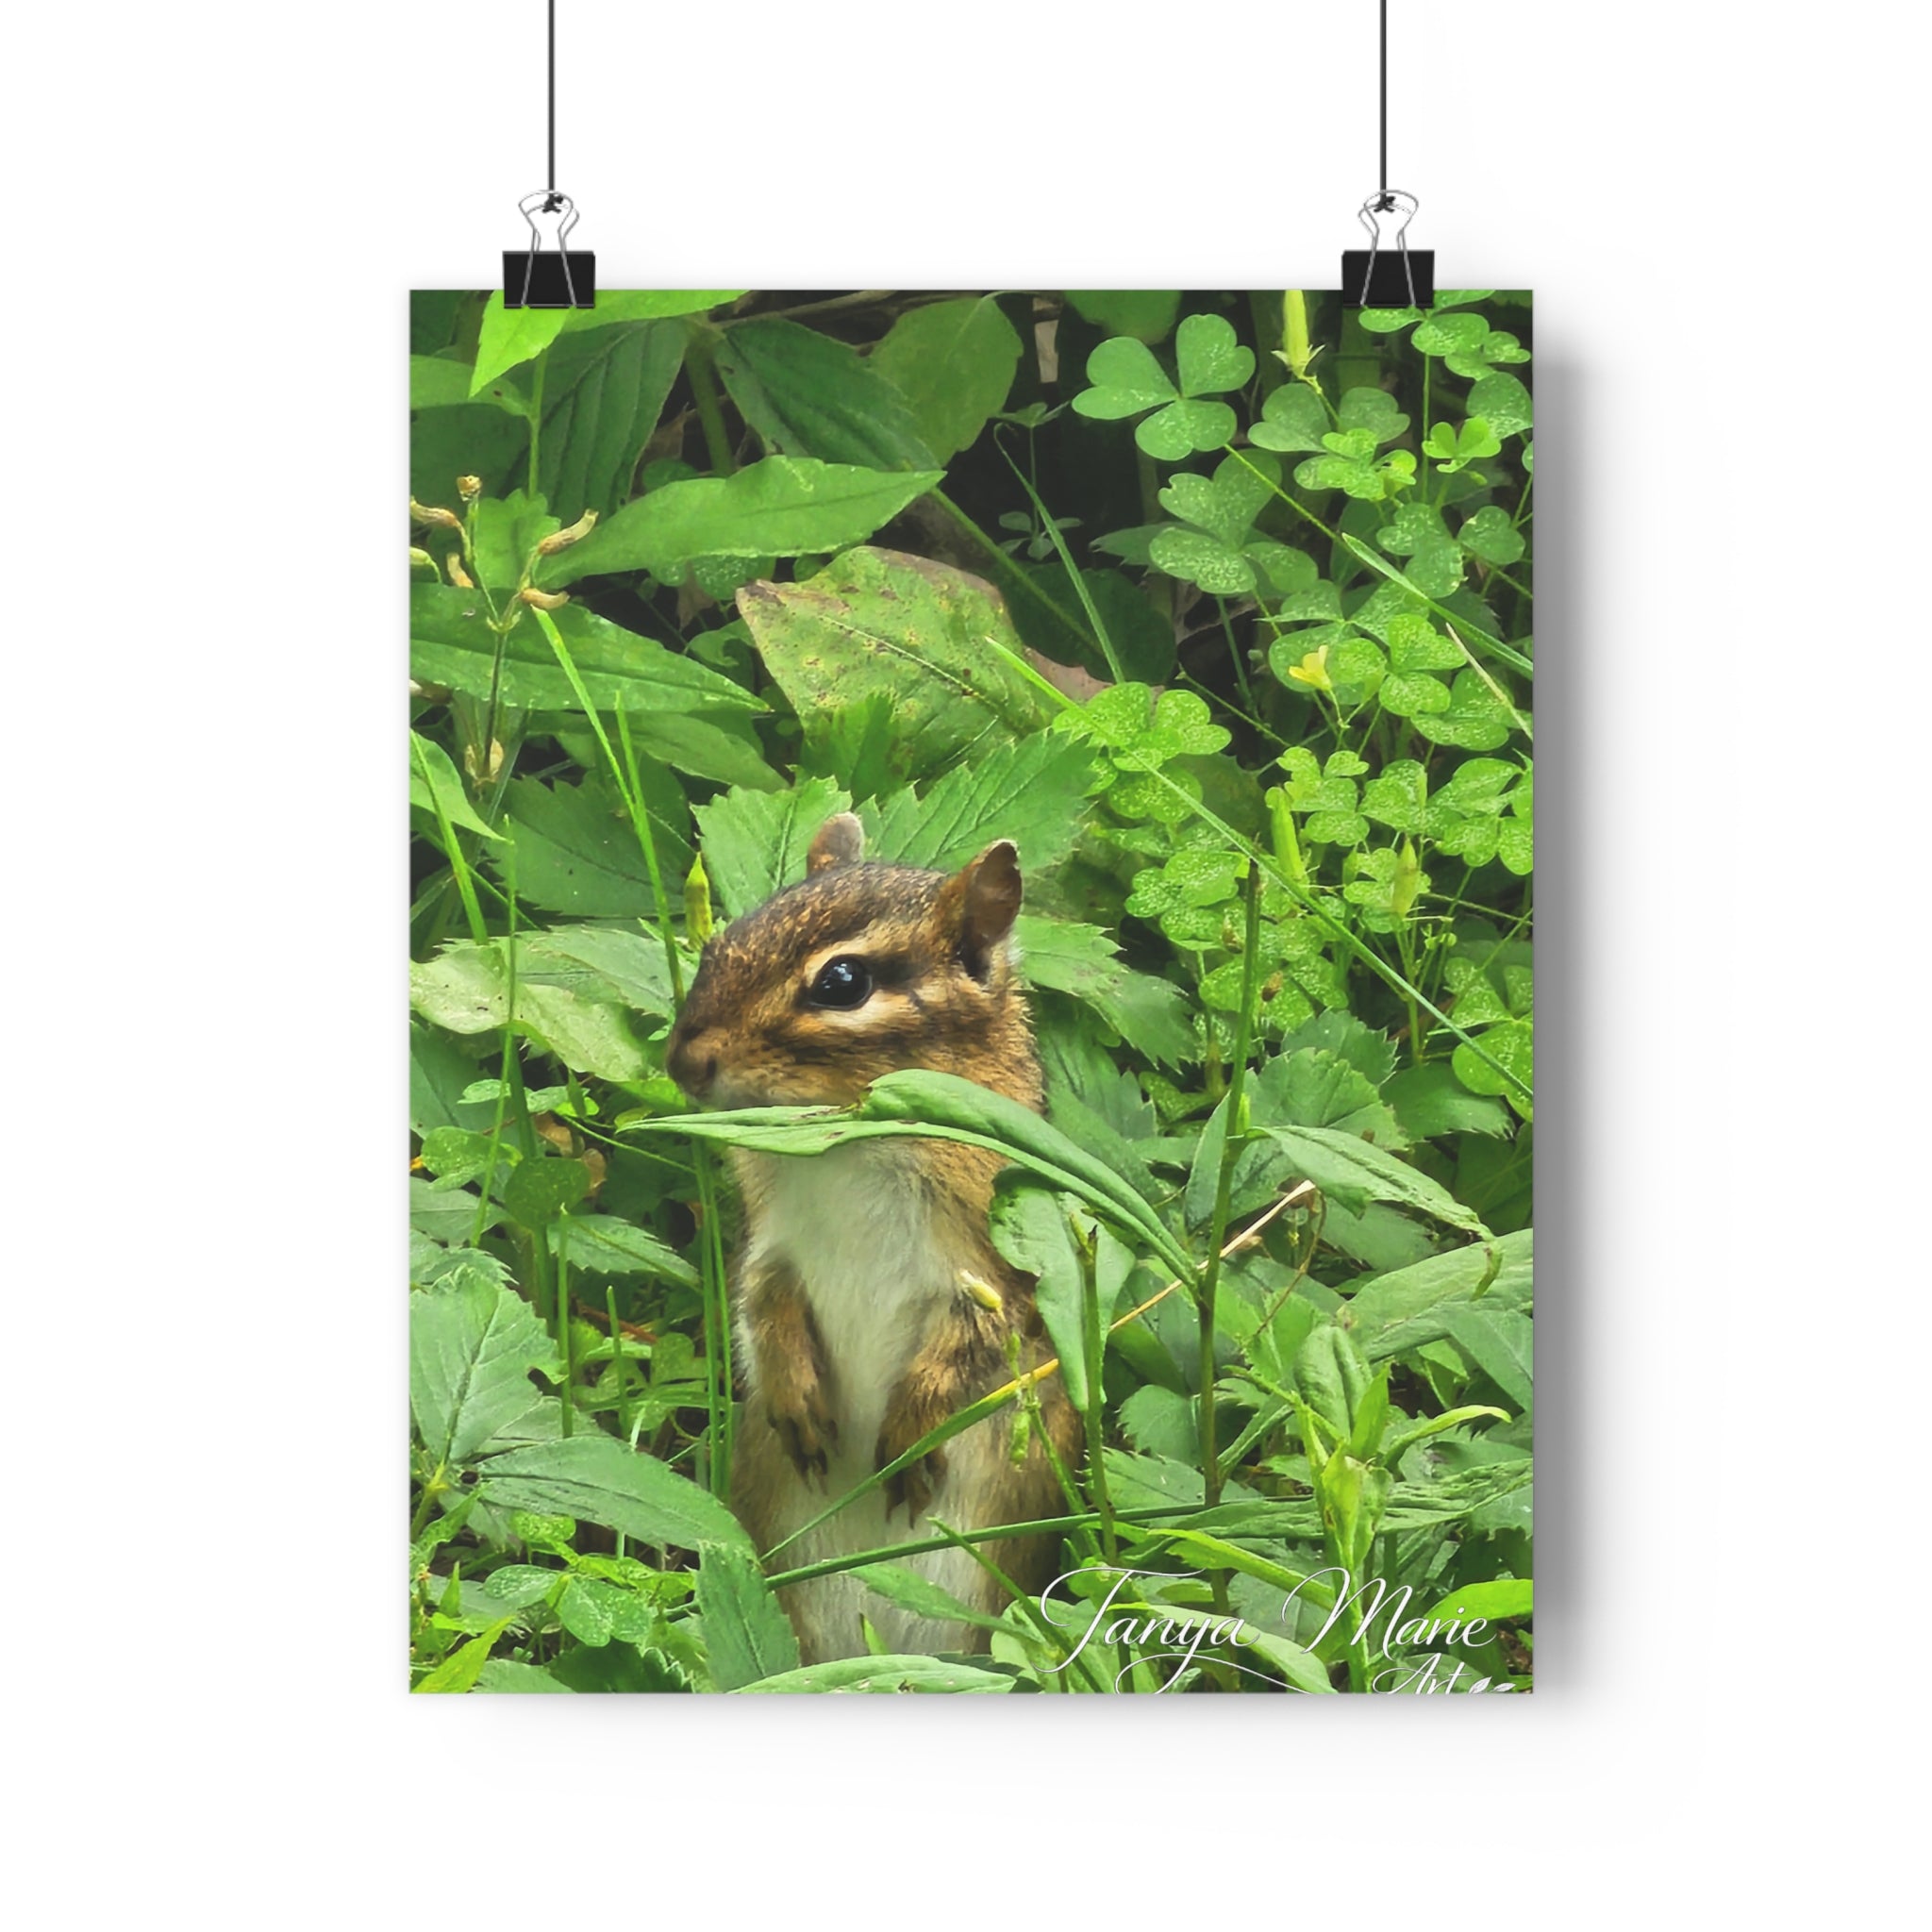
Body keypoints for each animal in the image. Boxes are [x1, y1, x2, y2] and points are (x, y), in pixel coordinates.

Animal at [666, 812, 1077, 1664]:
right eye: (721, 942)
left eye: (842, 984)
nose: (682, 1060)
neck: (844, 1147)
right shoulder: (770, 1244)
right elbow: (761, 1306)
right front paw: (795, 1396)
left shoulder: (991, 1268)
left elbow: (970, 1347)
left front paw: (912, 1435)